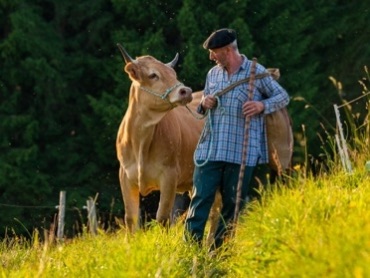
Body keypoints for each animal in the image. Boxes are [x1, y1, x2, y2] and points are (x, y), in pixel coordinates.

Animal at [115, 44, 202, 232]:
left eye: (174, 74)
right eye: (153, 75)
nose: (186, 91)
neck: (140, 142)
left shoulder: (169, 175)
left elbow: (162, 217)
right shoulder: (125, 176)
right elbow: (130, 219)